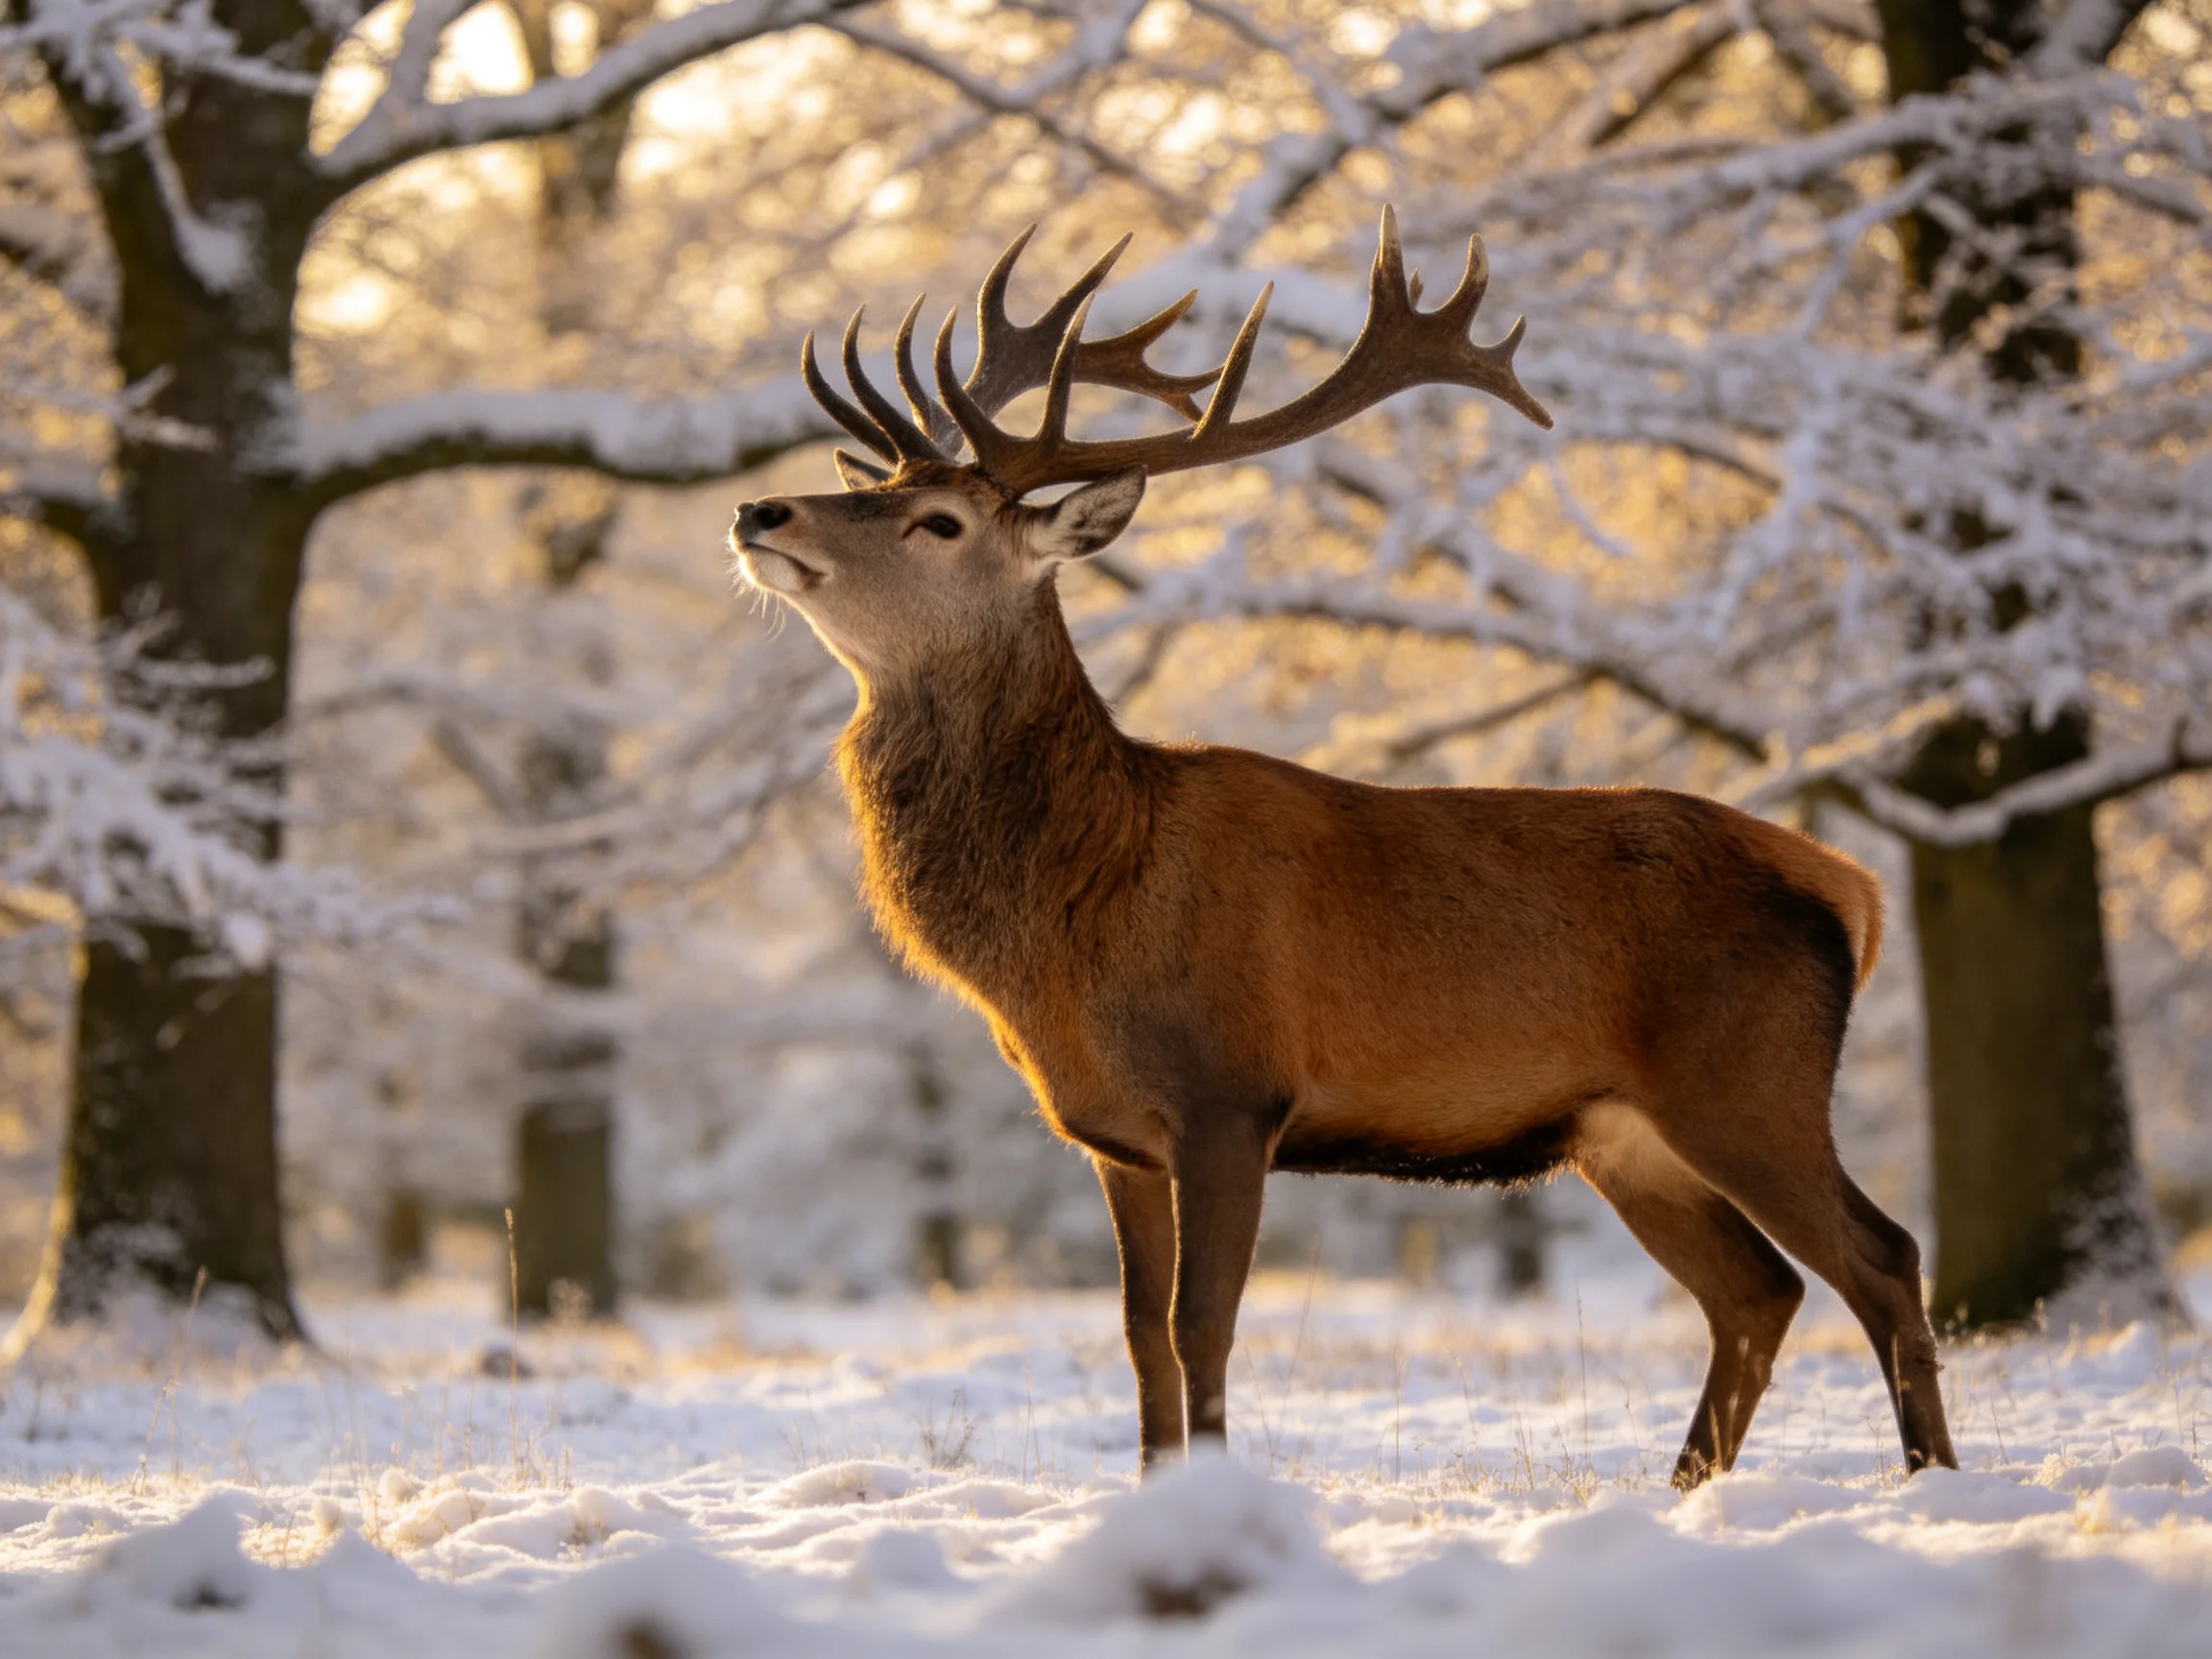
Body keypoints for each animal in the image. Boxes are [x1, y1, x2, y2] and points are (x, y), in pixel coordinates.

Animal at [729, 210, 1958, 1490]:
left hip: (1749, 1078)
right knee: (1756, 1293)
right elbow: (1137, 1335)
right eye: (883, 488)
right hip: (1623, 1132)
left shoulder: (1232, 1091)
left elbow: (1203, 1327)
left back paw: (1930, 1480)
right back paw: (1684, 1493)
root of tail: (1853, 889)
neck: (1086, 906)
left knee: (1882, 1255)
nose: (762, 513)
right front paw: (1155, 1492)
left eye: (940, 522)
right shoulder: (1115, 1135)